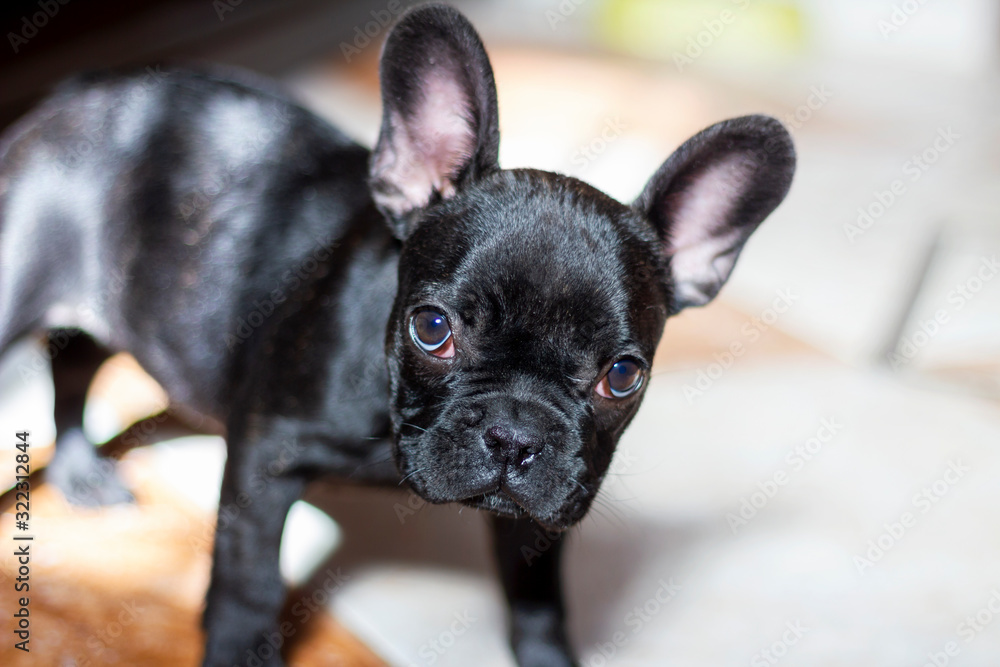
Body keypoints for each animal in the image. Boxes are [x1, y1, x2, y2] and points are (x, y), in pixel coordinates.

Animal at [1, 2, 796, 664]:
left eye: (623, 376)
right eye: (432, 327)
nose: (514, 435)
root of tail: (80, 92)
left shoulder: (539, 515)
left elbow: (537, 603)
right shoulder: (265, 458)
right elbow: (248, 588)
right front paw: (235, 652)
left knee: (73, 368)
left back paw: (79, 471)